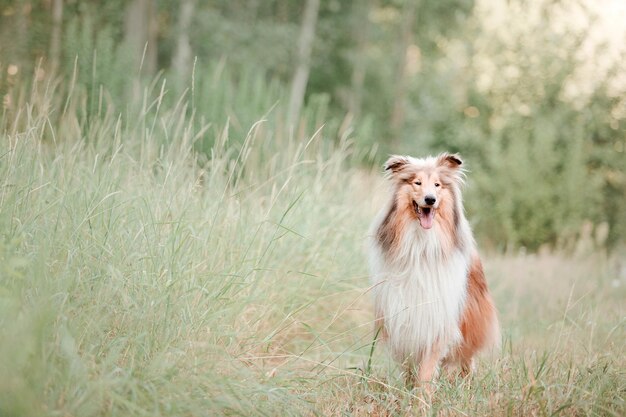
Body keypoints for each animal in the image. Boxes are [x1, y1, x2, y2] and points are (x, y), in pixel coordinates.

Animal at [366, 152, 498, 384]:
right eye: (417, 182)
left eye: (437, 185)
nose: (430, 199)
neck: (421, 243)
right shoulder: (402, 317)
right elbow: (409, 363)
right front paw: (409, 388)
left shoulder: (438, 315)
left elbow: (428, 364)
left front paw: (423, 393)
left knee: (467, 356)